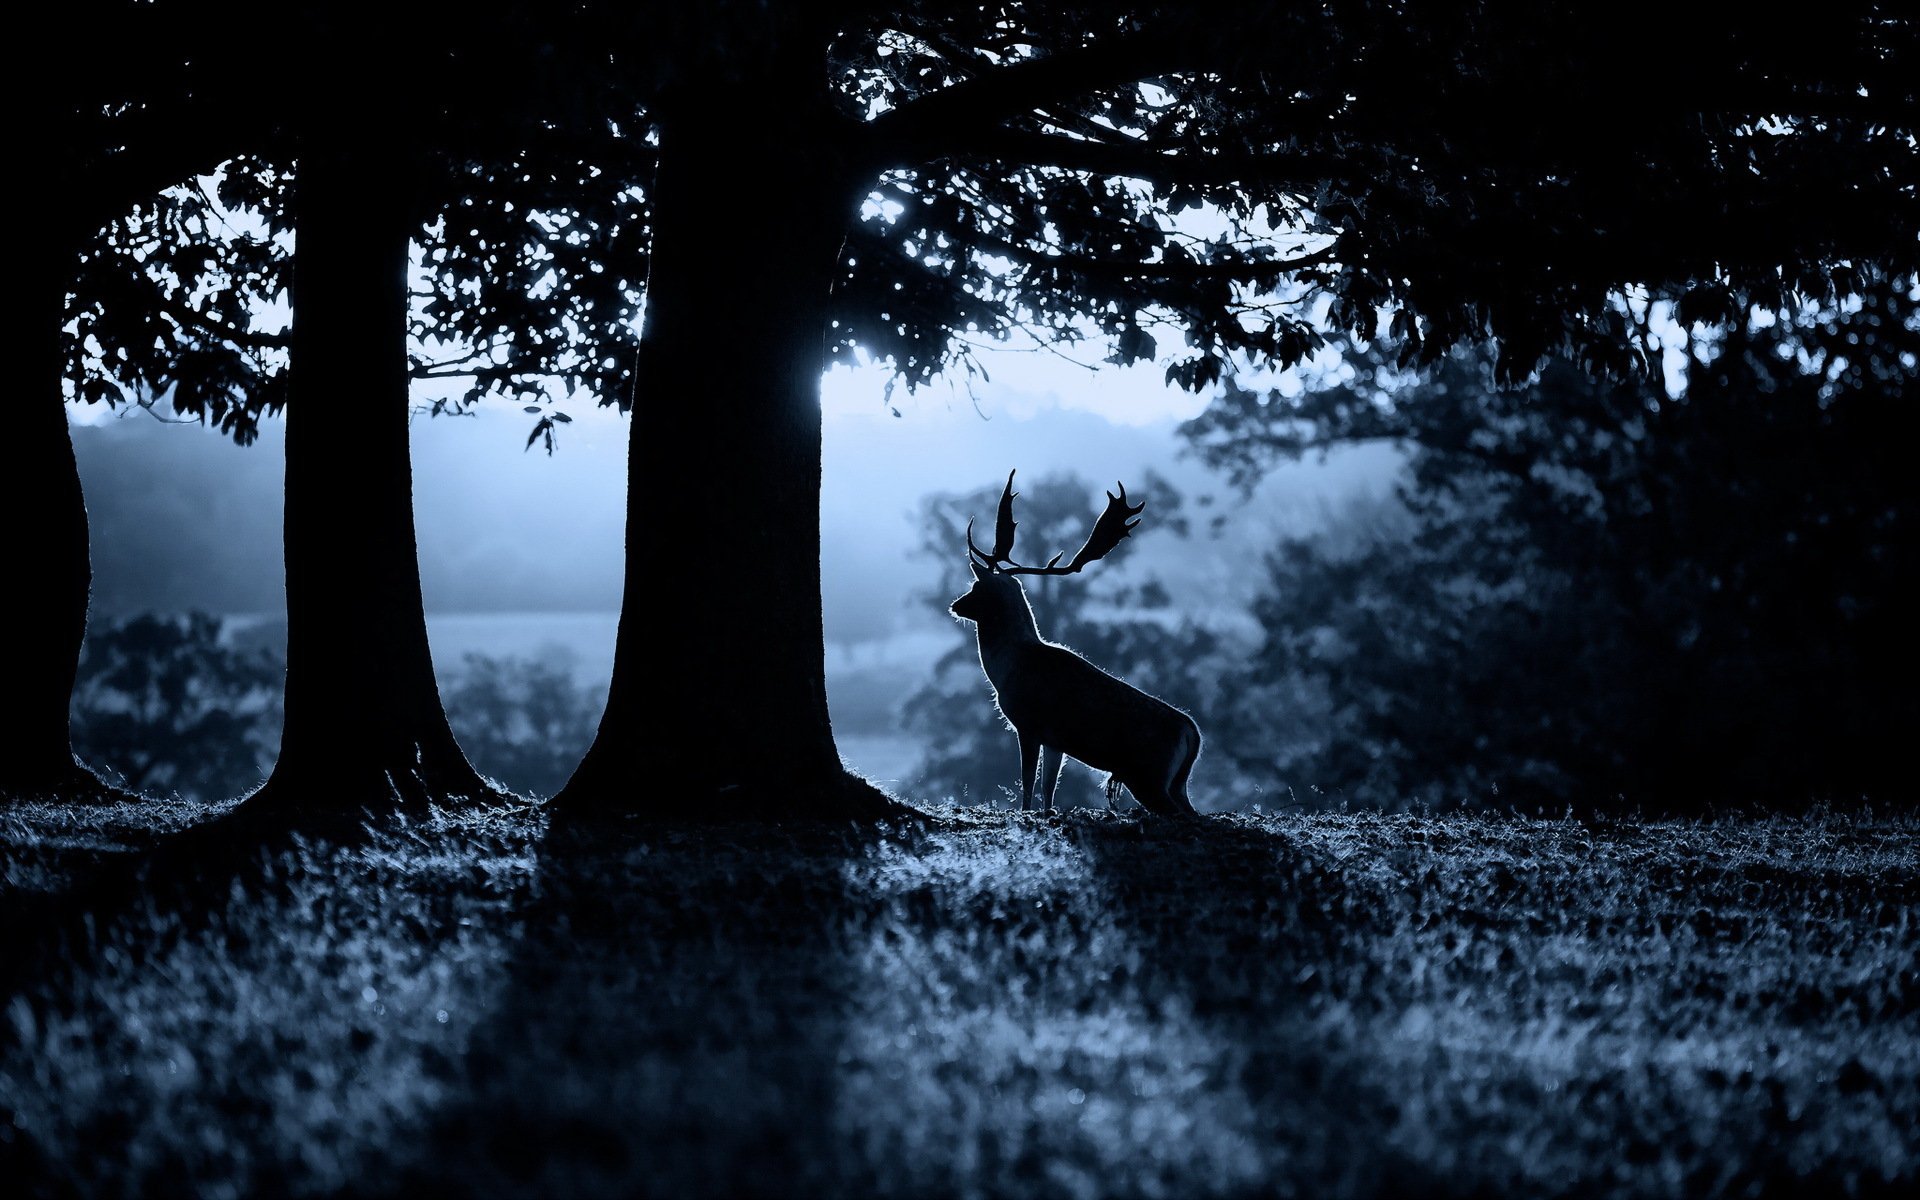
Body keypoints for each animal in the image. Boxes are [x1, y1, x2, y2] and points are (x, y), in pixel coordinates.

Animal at [949, 471, 1202, 818]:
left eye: (976, 586)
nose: (955, 605)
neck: (1007, 668)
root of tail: (1193, 734)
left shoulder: (1028, 724)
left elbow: (1027, 782)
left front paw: (1025, 813)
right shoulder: (1056, 741)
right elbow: (1049, 788)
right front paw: (1048, 812)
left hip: (1149, 775)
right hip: (1177, 782)